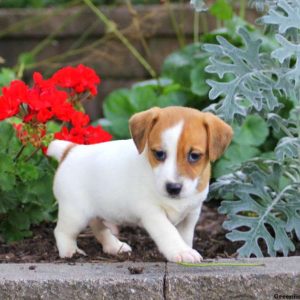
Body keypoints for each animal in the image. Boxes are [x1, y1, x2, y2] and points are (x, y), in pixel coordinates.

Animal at [48, 106, 233, 262]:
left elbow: (185, 235)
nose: (173, 188)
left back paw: (114, 246)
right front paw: (182, 251)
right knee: (61, 231)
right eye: (159, 154)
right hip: (75, 213)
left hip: (96, 211)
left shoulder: (191, 212)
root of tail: (70, 150)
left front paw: (185, 247)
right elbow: (169, 232)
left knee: (98, 227)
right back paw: (70, 252)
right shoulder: (153, 213)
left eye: (194, 156)